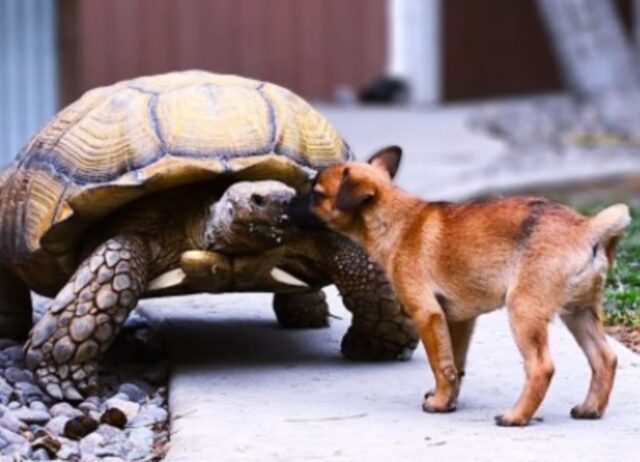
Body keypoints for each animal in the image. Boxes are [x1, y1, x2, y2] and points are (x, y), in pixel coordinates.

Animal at [300, 146, 632, 424]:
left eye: (317, 194)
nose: (293, 201)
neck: (397, 218)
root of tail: (586, 229)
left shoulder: (426, 314)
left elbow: (440, 364)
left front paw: (439, 402)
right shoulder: (457, 321)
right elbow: (454, 364)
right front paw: (448, 399)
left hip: (524, 312)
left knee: (541, 367)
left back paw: (516, 416)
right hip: (578, 313)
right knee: (604, 358)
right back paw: (590, 408)